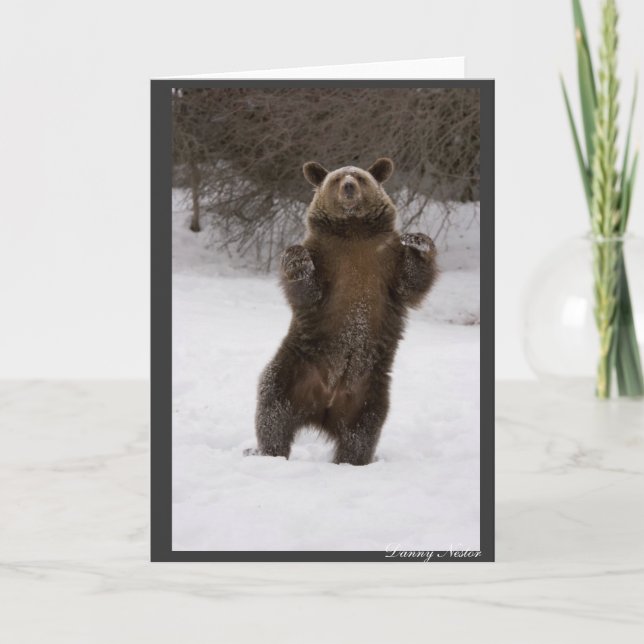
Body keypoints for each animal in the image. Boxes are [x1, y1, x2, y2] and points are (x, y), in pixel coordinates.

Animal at [249, 158, 438, 465]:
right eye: (337, 178)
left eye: (360, 177)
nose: (348, 187)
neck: (353, 231)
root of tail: (324, 404)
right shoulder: (326, 258)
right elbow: (307, 291)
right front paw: (297, 260)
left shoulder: (385, 263)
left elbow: (412, 282)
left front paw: (419, 242)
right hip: (296, 367)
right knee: (272, 406)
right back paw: (269, 452)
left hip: (368, 389)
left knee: (362, 430)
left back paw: (352, 460)